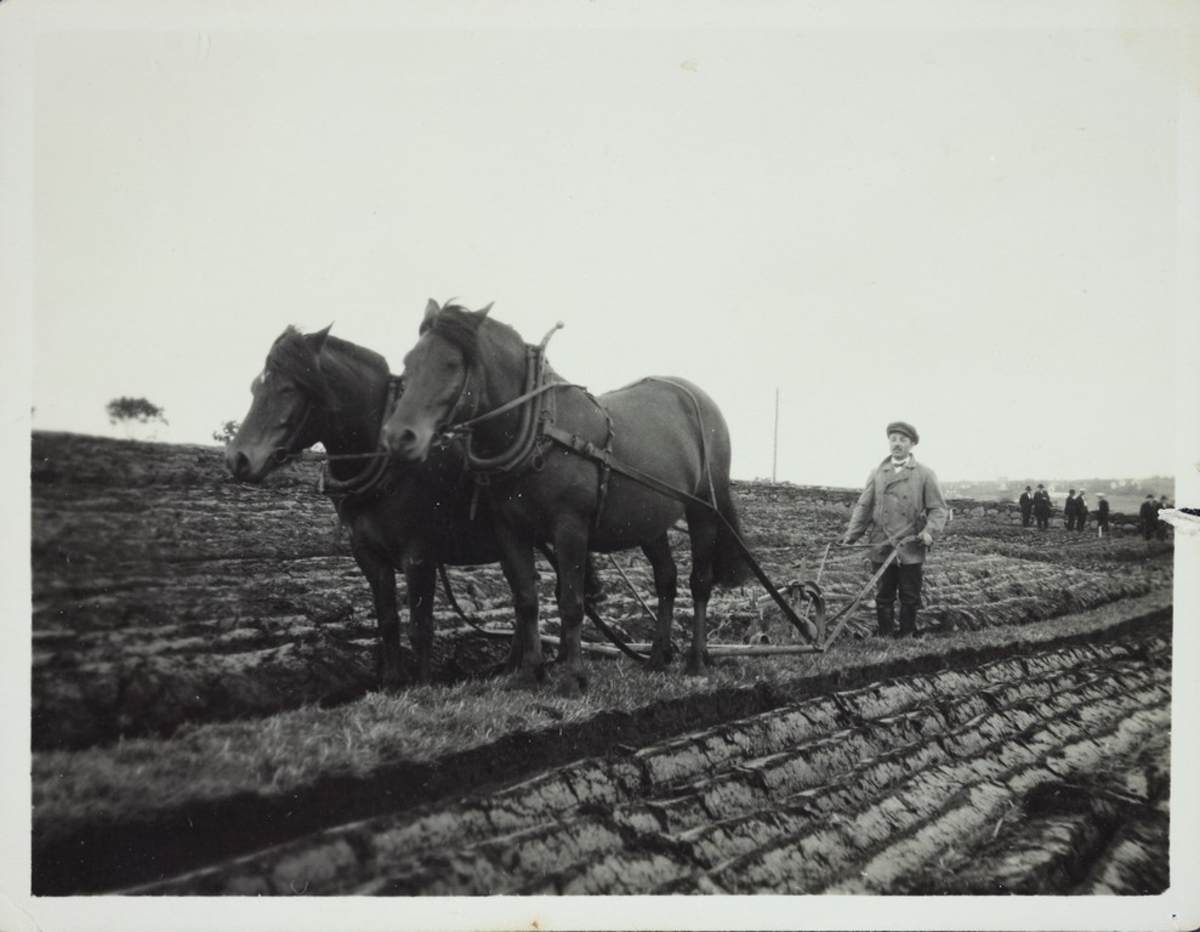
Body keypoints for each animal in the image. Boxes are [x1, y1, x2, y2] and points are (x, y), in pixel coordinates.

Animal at [225, 326, 600, 690]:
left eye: (288, 388)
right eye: (255, 387)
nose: (238, 459)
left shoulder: (418, 554)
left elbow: (420, 625)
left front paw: (422, 685)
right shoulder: (368, 555)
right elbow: (388, 621)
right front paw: (393, 683)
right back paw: (519, 665)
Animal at [379, 302, 744, 695]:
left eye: (451, 363)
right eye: (408, 361)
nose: (398, 436)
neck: (539, 428)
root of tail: (697, 396)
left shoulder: (570, 528)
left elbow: (571, 602)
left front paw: (574, 678)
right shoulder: (510, 531)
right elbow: (526, 600)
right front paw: (531, 673)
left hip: (703, 510)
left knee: (700, 582)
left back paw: (696, 660)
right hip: (650, 521)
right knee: (666, 579)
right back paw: (657, 658)